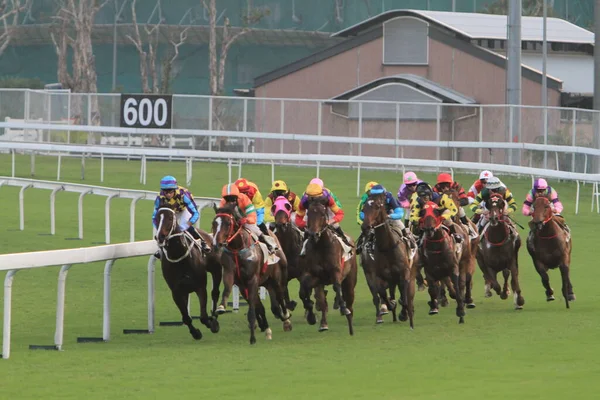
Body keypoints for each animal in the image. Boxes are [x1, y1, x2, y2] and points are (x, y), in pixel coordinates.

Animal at [154, 202, 221, 340]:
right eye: (157, 217)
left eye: (170, 218)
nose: (160, 236)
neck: (179, 256)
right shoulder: (176, 291)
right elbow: (186, 317)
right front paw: (196, 333)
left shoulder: (200, 286)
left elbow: (203, 317)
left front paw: (211, 323)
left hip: (216, 269)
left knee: (215, 293)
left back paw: (215, 318)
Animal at [213, 203, 292, 344]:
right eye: (214, 223)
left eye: (227, 223)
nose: (218, 244)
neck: (238, 248)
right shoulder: (235, 278)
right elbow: (229, 290)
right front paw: (221, 307)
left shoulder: (252, 280)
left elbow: (252, 311)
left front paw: (253, 338)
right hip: (266, 282)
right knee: (271, 305)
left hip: (276, 278)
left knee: (280, 297)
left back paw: (286, 319)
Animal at [298, 197, 356, 334]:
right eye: (309, 213)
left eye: (322, 214)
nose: (314, 234)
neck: (321, 246)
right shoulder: (315, 276)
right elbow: (304, 290)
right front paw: (311, 315)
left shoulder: (336, 272)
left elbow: (337, 287)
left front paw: (343, 307)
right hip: (320, 284)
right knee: (322, 301)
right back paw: (323, 324)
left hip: (350, 280)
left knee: (350, 304)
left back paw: (350, 326)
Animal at [358, 193, 414, 328]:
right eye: (364, 209)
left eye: (377, 207)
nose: (365, 227)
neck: (387, 247)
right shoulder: (378, 275)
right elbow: (381, 292)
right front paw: (391, 306)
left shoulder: (404, 272)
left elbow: (404, 292)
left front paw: (404, 313)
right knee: (379, 294)